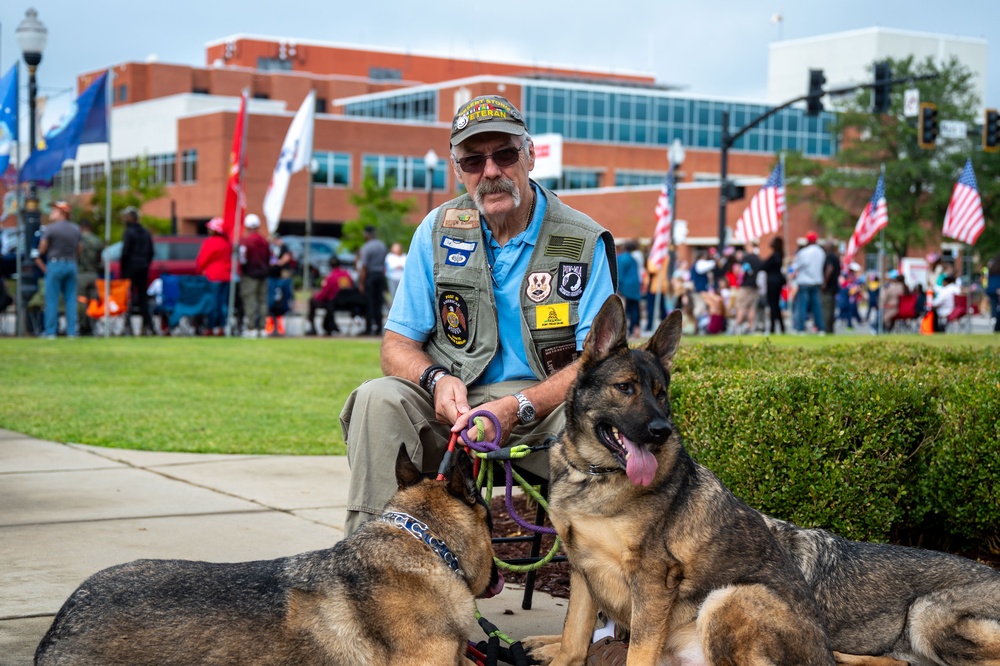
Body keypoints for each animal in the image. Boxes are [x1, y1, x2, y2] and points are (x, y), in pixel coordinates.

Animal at [524, 296, 836, 664]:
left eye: (660, 393)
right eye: (625, 387)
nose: (662, 431)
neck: (594, 473)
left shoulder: (652, 579)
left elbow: (637, 652)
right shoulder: (582, 570)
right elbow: (573, 638)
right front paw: (560, 651)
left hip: (725, 598)